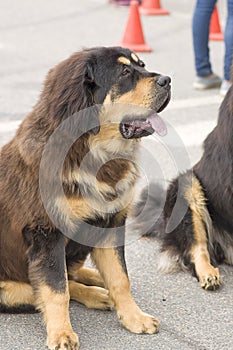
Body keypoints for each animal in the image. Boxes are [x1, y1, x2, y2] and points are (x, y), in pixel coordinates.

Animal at [0, 47, 171, 350]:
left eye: (142, 65)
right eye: (124, 72)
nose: (168, 80)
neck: (93, 152)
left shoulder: (109, 223)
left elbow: (120, 278)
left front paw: (133, 317)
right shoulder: (47, 235)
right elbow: (56, 290)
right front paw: (61, 333)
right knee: (37, 288)